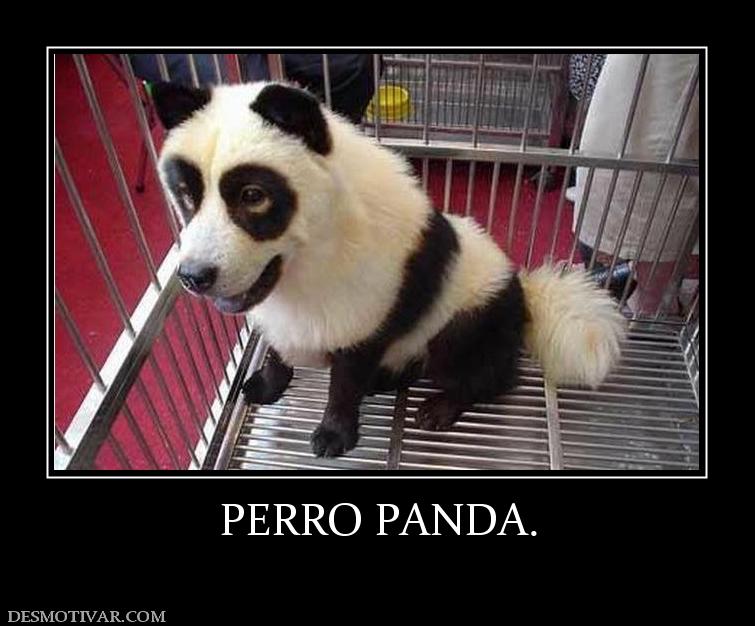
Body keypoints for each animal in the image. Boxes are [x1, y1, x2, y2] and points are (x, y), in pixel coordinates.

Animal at [151, 80, 626, 459]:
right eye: (185, 194)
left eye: (253, 196)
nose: (193, 277)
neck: (305, 262)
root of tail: (524, 288)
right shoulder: (276, 306)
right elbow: (275, 345)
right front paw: (268, 384)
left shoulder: (365, 305)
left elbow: (344, 382)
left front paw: (335, 433)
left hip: (468, 319)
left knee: (485, 372)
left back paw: (442, 405)